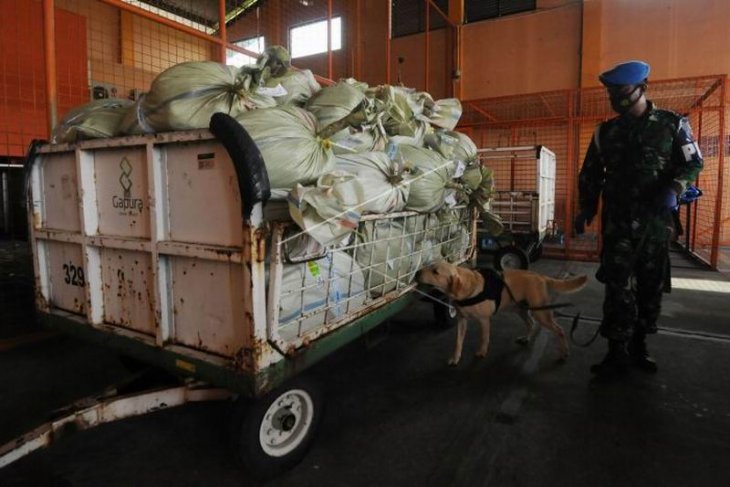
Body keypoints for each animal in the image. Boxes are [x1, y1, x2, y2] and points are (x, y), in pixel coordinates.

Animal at [416, 264, 584, 366]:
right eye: (429, 265)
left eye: (435, 272)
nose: (417, 272)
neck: (467, 287)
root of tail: (540, 276)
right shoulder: (462, 321)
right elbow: (458, 342)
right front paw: (455, 358)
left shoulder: (484, 320)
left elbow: (484, 338)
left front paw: (482, 352)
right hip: (520, 309)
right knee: (531, 323)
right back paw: (526, 338)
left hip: (541, 313)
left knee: (559, 330)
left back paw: (564, 353)